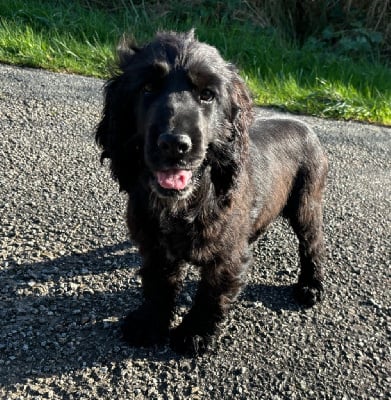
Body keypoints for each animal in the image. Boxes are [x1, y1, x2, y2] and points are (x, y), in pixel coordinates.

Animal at [96, 31, 330, 356]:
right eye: (147, 88)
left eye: (207, 95)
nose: (174, 144)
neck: (186, 202)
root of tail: (306, 125)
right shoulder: (156, 248)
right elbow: (157, 285)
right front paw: (149, 323)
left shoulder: (227, 257)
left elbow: (211, 294)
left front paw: (193, 334)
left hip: (306, 203)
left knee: (312, 245)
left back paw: (311, 286)